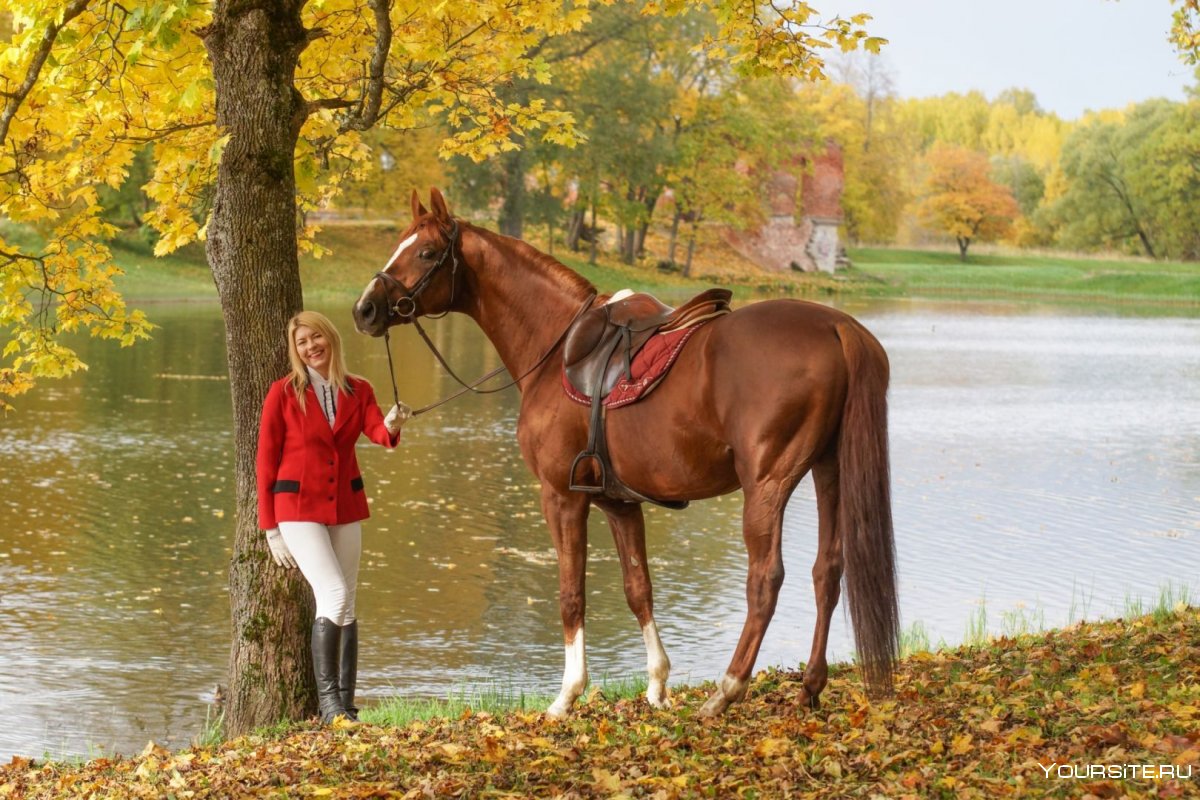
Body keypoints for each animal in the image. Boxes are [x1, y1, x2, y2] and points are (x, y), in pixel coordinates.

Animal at [350, 189, 897, 719]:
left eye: (425, 252)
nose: (365, 309)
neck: (555, 348)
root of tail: (837, 326)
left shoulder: (562, 497)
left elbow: (571, 594)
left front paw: (567, 695)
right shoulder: (619, 502)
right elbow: (639, 589)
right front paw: (657, 686)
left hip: (768, 484)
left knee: (766, 580)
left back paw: (726, 690)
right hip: (829, 470)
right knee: (827, 571)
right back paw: (810, 687)